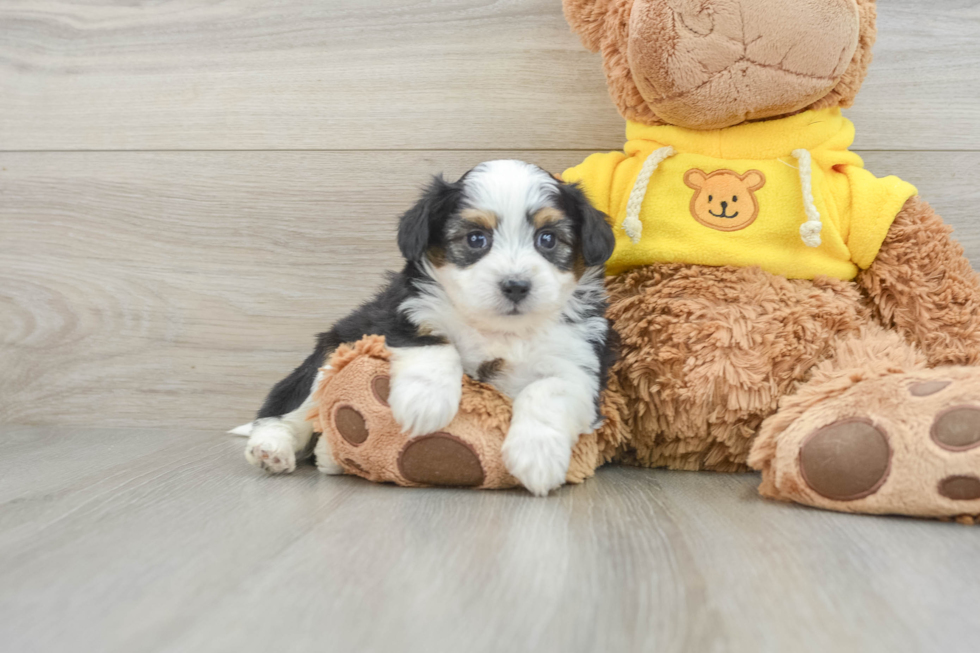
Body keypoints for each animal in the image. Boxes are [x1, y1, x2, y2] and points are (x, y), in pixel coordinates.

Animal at [238, 162, 616, 494]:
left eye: (548, 239)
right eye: (476, 239)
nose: (516, 285)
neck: (499, 330)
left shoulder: (580, 364)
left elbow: (548, 390)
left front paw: (537, 456)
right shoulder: (397, 313)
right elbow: (431, 341)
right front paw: (426, 403)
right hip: (329, 354)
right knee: (291, 411)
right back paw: (273, 448)